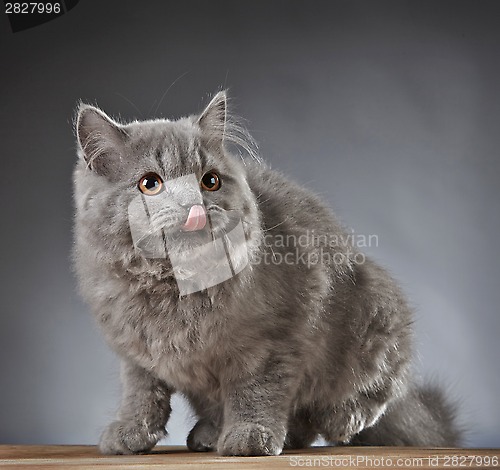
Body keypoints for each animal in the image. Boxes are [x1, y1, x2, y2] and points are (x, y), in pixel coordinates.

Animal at [73, 91, 460, 456]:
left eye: (209, 181)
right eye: (150, 184)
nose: (194, 205)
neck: (175, 285)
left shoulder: (272, 341)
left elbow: (255, 391)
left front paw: (249, 436)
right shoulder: (135, 348)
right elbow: (140, 392)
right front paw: (130, 432)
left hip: (377, 309)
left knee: (361, 396)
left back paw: (338, 418)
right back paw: (210, 434)